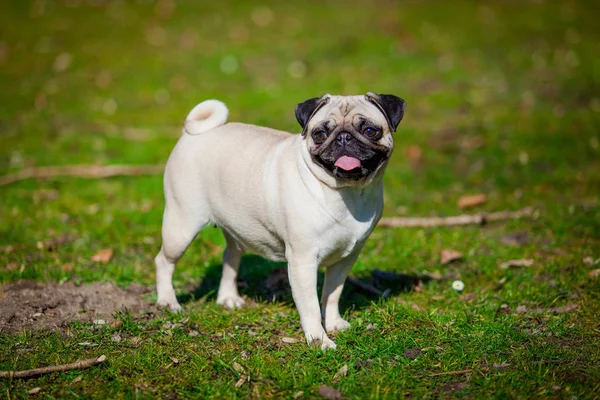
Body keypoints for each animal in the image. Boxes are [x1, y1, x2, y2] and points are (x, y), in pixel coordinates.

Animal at [155, 92, 408, 348]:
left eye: (370, 131)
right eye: (320, 134)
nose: (344, 137)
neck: (347, 193)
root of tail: (193, 134)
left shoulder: (345, 259)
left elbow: (332, 294)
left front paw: (334, 323)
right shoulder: (302, 262)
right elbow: (311, 306)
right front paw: (319, 341)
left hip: (235, 228)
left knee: (230, 257)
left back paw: (228, 298)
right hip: (181, 227)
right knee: (164, 261)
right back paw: (168, 302)